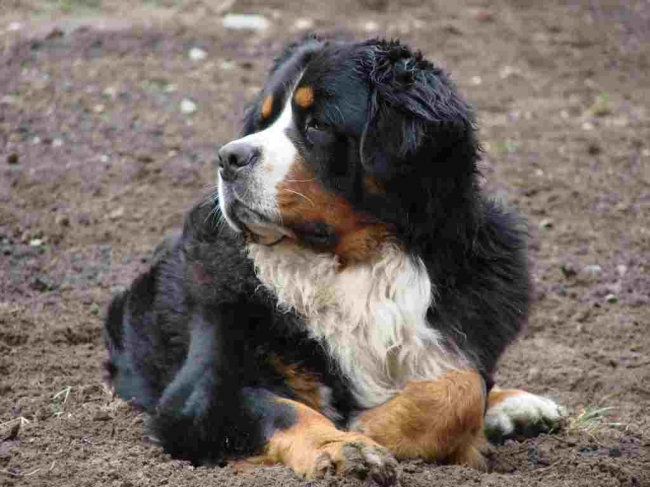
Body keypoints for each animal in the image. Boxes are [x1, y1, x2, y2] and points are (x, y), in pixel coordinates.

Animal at [103, 37, 565, 485]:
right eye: (262, 122)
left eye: (318, 124)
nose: (229, 157)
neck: (360, 264)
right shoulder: (200, 392)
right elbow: (286, 409)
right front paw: (345, 446)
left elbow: (463, 385)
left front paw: (371, 425)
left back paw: (523, 406)